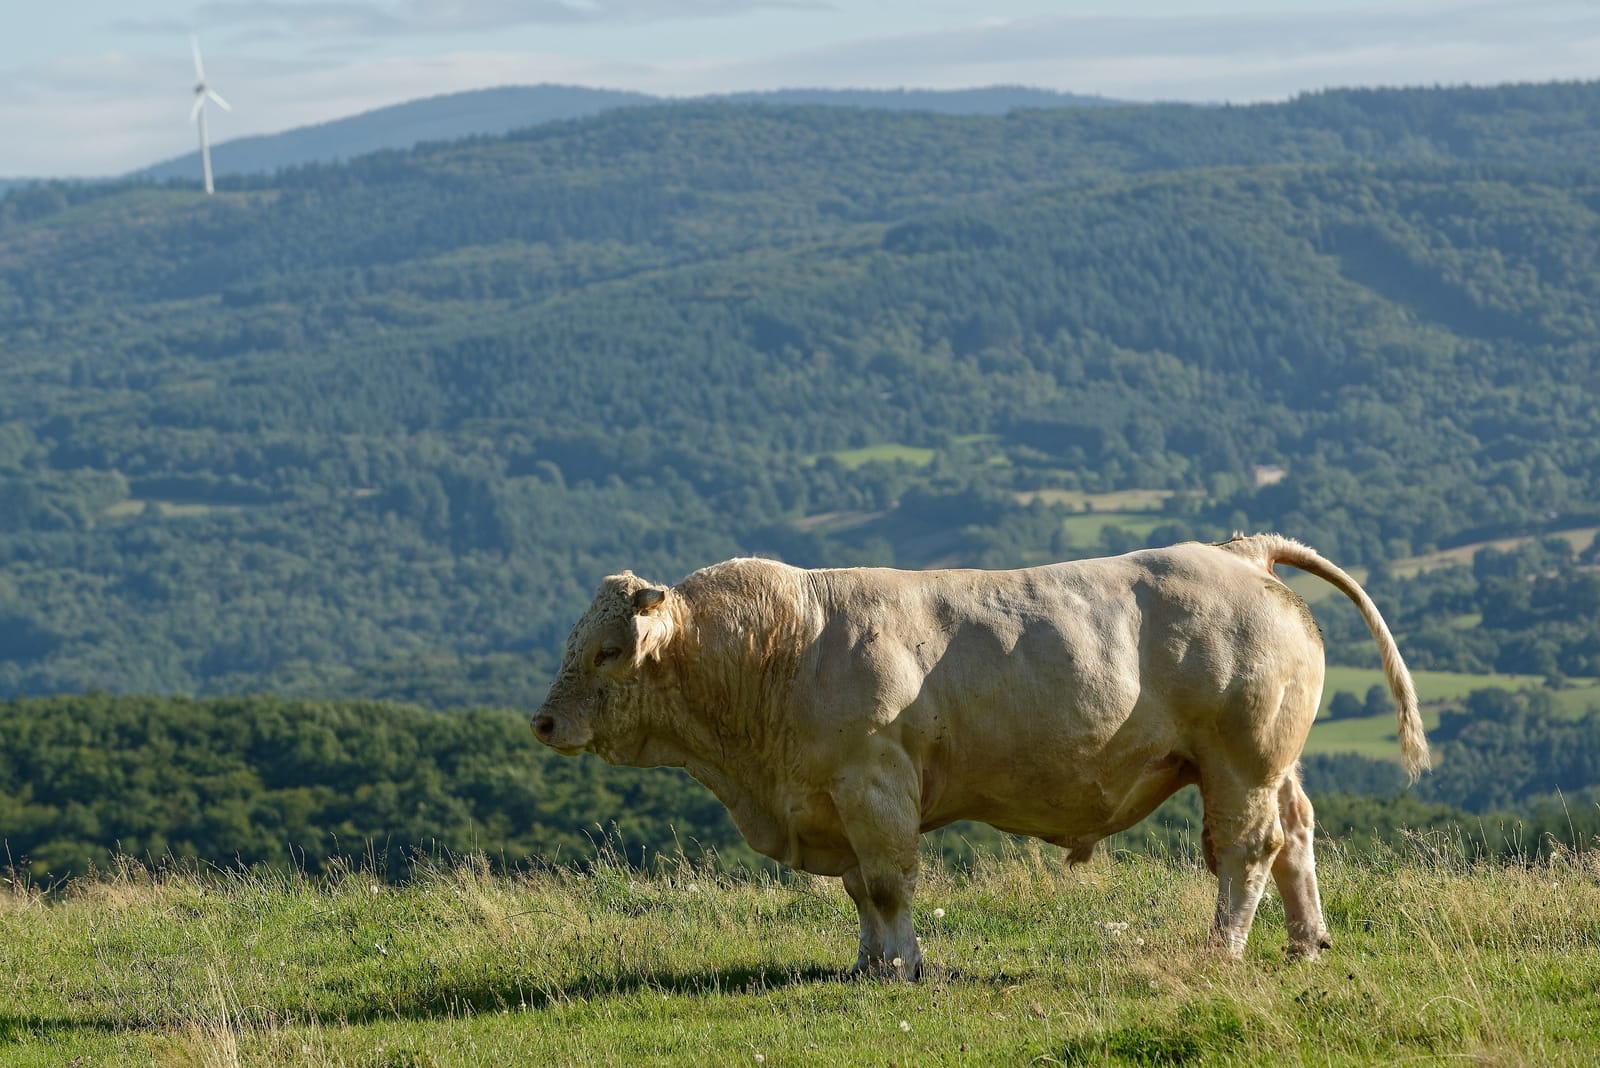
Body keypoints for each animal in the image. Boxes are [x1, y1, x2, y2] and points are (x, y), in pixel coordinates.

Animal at [532, 533, 1428, 978]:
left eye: (608, 650)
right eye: (572, 641)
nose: (541, 722)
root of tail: (1239, 551)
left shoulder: (876, 784)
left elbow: (889, 885)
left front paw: (904, 967)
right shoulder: (836, 801)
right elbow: (859, 890)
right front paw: (866, 965)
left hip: (1239, 759)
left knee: (1246, 850)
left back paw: (1224, 952)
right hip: (1271, 759)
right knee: (1296, 837)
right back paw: (1305, 943)